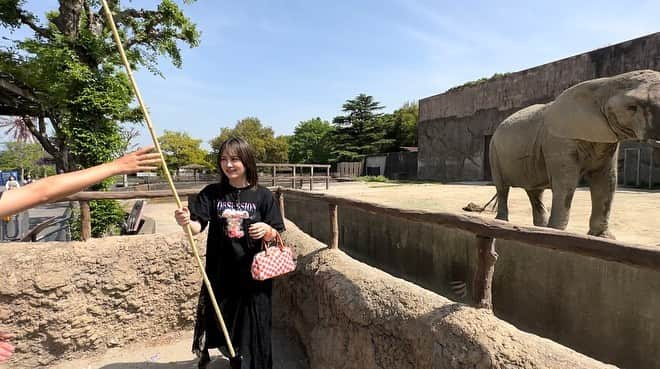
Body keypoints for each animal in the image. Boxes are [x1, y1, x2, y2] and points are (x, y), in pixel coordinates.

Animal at [490, 68, 660, 239]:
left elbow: (606, 181)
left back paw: (538, 227)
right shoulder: (558, 140)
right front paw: (555, 232)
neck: (607, 83)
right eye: (631, 107)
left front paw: (603, 237)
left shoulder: (607, 138)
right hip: (494, 151)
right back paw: (502, 222)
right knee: (503, 187)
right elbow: (567, 182)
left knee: (535, 192)